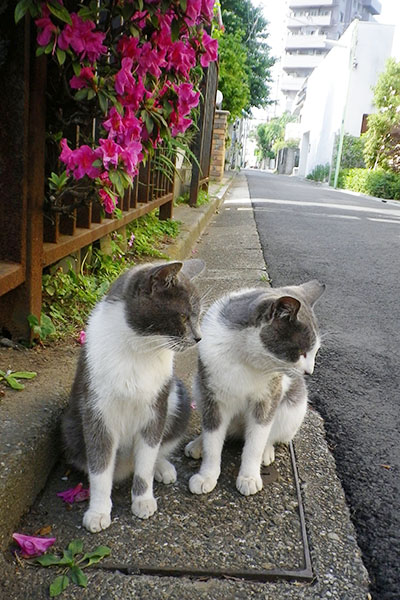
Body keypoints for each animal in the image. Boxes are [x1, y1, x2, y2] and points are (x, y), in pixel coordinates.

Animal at [62, 260, 206, 532]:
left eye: (199, 316)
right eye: (183, 316)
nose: (198, 337)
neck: (139, 349)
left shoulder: (156, 408)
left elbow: (146, 461)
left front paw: (143, 500)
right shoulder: (97, 412)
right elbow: (99, 469)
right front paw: (98, 512)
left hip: (177, 398)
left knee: (155, 452)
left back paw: (162, 468)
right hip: (70, 430)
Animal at [184, 282, 324, 496]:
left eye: (315, 352)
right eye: (300, 352)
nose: (309, 372)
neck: (244, 359)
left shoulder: (267, 398)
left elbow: (255, 443)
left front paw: (249, 477)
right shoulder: (213, 398)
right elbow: (213, 442)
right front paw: (207, 476)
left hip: (293, 409)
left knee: (271, 434)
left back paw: (266, 451)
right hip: (198, 388)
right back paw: (198, 443)